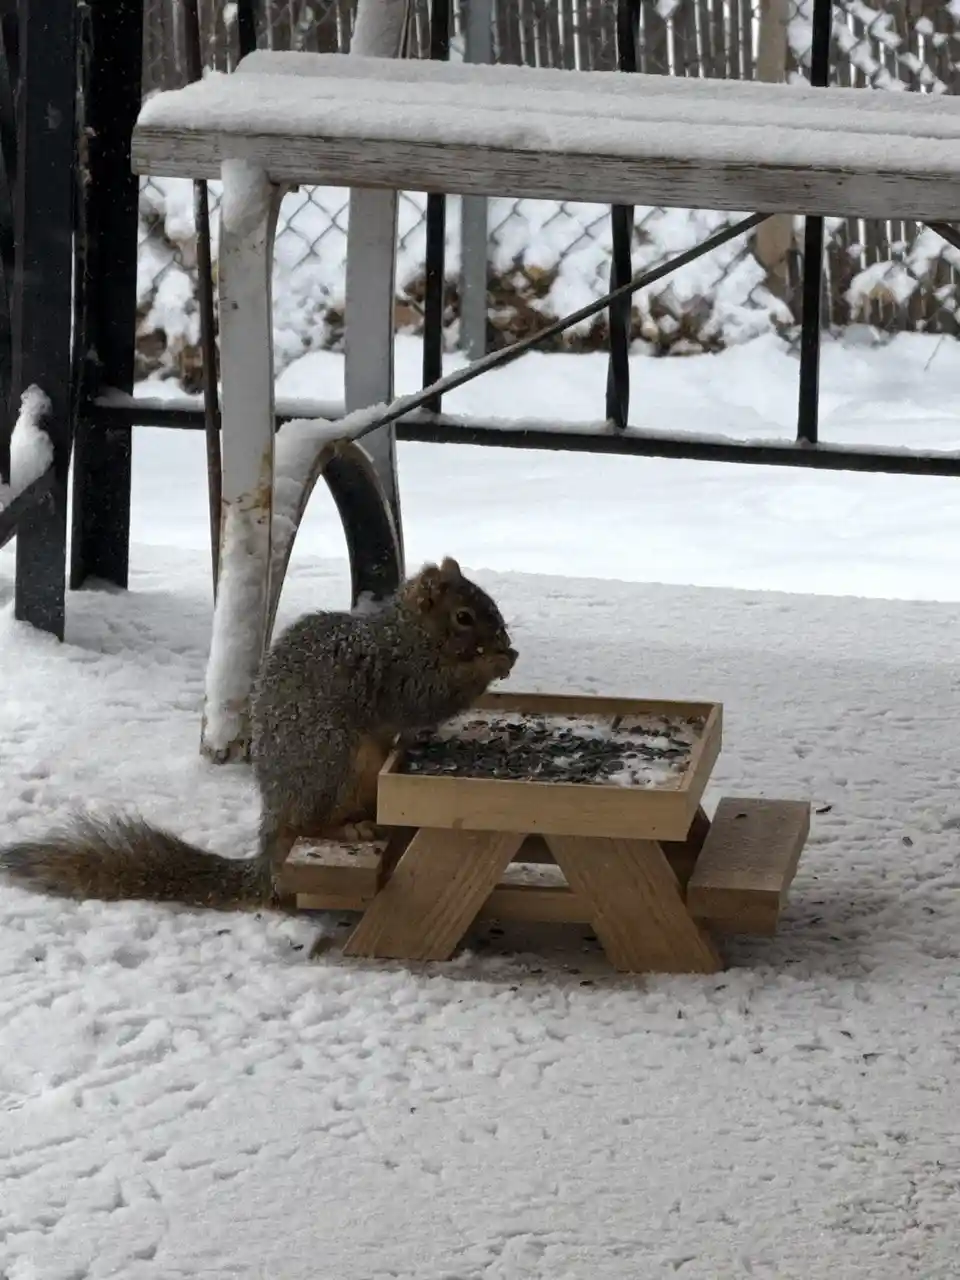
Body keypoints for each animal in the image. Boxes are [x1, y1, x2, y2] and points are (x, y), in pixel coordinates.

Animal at [0, 557, 517, 912]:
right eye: (464, 616)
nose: (505, 640)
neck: (409, 632)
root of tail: (268, 851)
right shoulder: (396, 672)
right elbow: (428, 697)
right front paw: (493, 663)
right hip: (333, 761)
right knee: (310, 823)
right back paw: (345, 827)